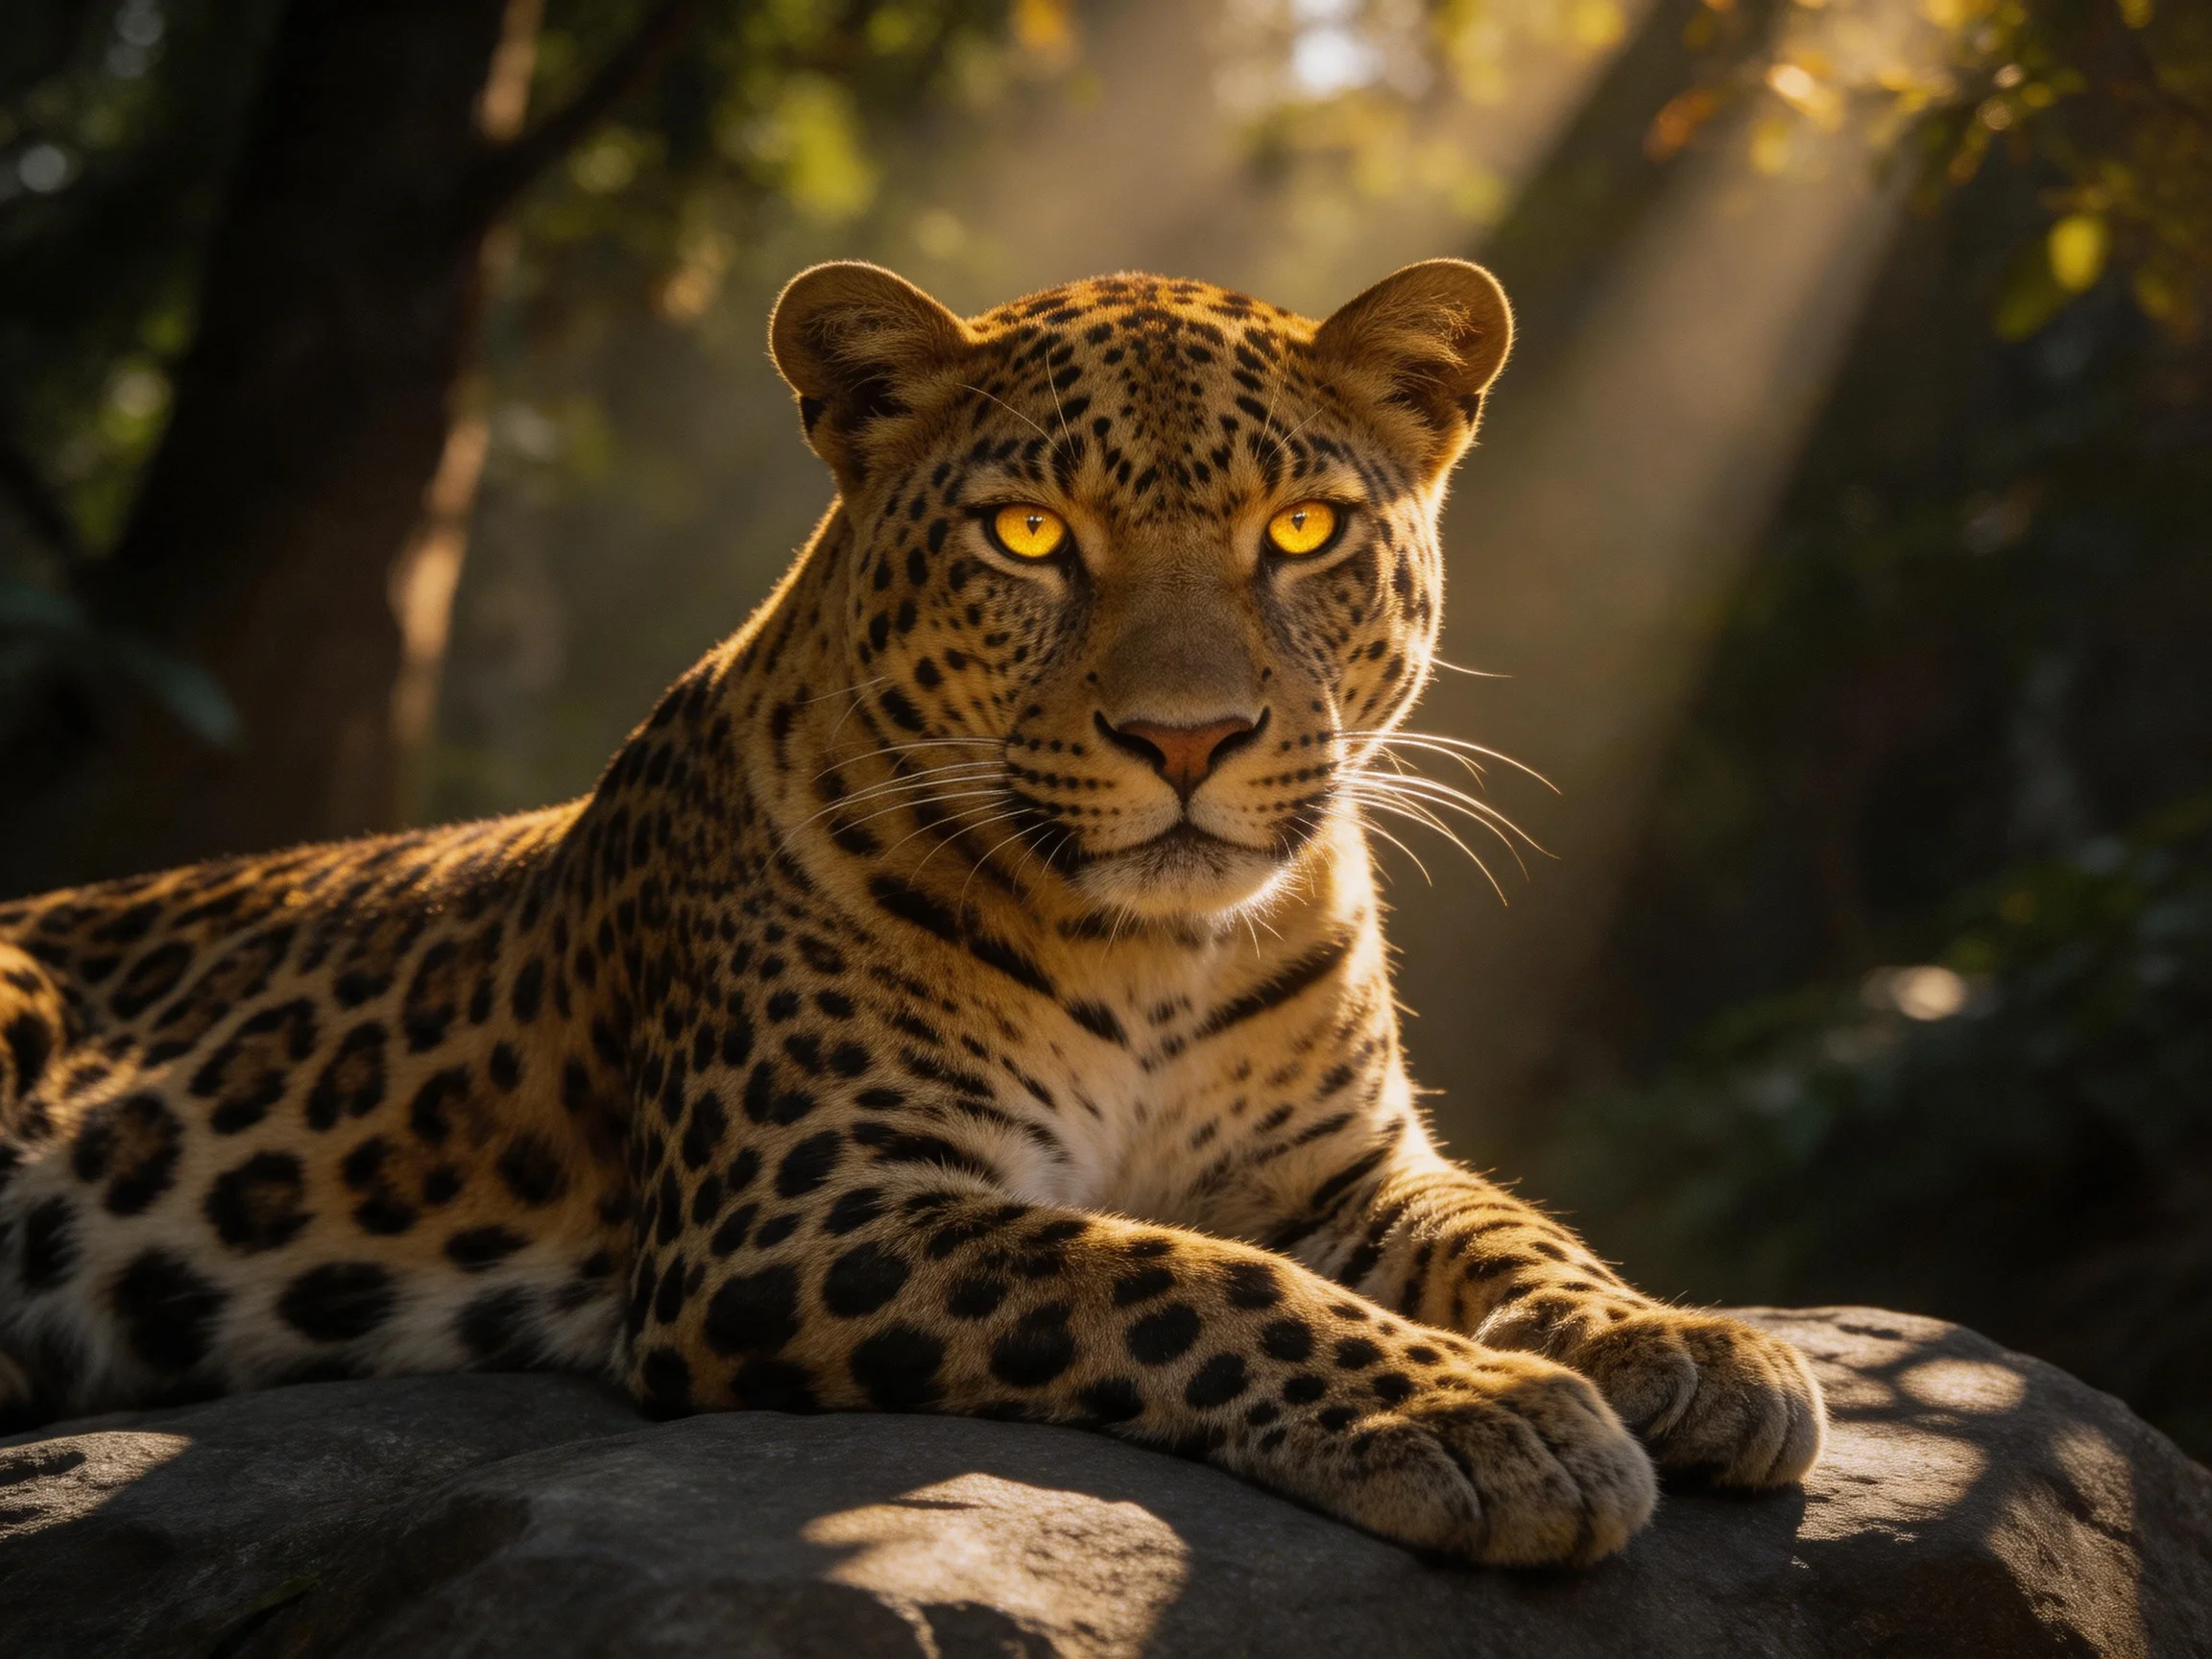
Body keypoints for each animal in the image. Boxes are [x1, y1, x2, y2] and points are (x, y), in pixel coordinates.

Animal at [0, 258, 1823, 1568]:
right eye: (1028, 535)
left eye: (1302, 530)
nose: (1185, 739)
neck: (1159, 958)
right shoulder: (797, 1208)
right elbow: (1169, 1276)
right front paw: (1482, 1417)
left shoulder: (1344, 1168)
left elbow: (1512, 1227)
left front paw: (1681, 1342)